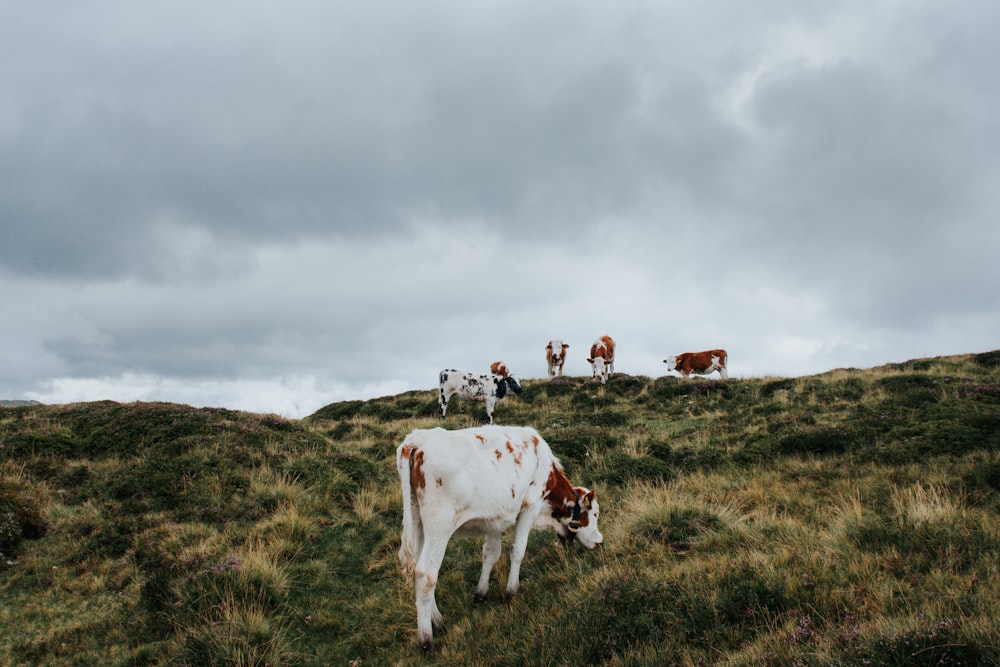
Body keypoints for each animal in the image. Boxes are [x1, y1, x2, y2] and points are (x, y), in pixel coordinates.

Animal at [396, 428, 600, 652]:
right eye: (595, 513)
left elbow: (490, 554)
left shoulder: (494, 519)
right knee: (426, 575)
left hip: (418, 524)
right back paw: (426, 639)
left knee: (418, 569)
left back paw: (437, 621)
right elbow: (518, 550)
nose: (600, 541)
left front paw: (481, 593)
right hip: (439, 526)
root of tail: (416, 440)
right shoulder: (530, 506)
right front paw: (511, 591)